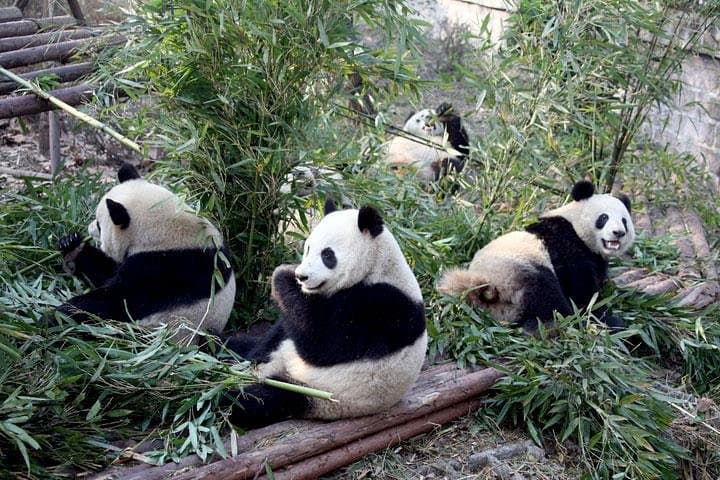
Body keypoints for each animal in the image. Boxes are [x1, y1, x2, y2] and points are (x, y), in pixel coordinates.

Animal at [49, 163, 236, 343]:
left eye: (100, 225)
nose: (90, 229)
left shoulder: (163, 268)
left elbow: (118, 299)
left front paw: (59, 315)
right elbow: (106, 273)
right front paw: (72, 245)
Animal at [222, 201, 427, 426]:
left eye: (327, 255)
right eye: (308, 248)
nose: (302, 276)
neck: (377, 266)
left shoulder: (383, 309)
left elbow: (322, 341)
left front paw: (282, 275)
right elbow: (280, 331)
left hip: (320, 394)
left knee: (262, 399)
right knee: (240, 346)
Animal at [438, 181, 635, 331]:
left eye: (624, 220)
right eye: (604, 218)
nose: (618, 233)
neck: (574, 223)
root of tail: (486, 291)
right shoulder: (564, 242)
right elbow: (580, 289)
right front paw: (604, 316)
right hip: (516, 270)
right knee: (545, 293)